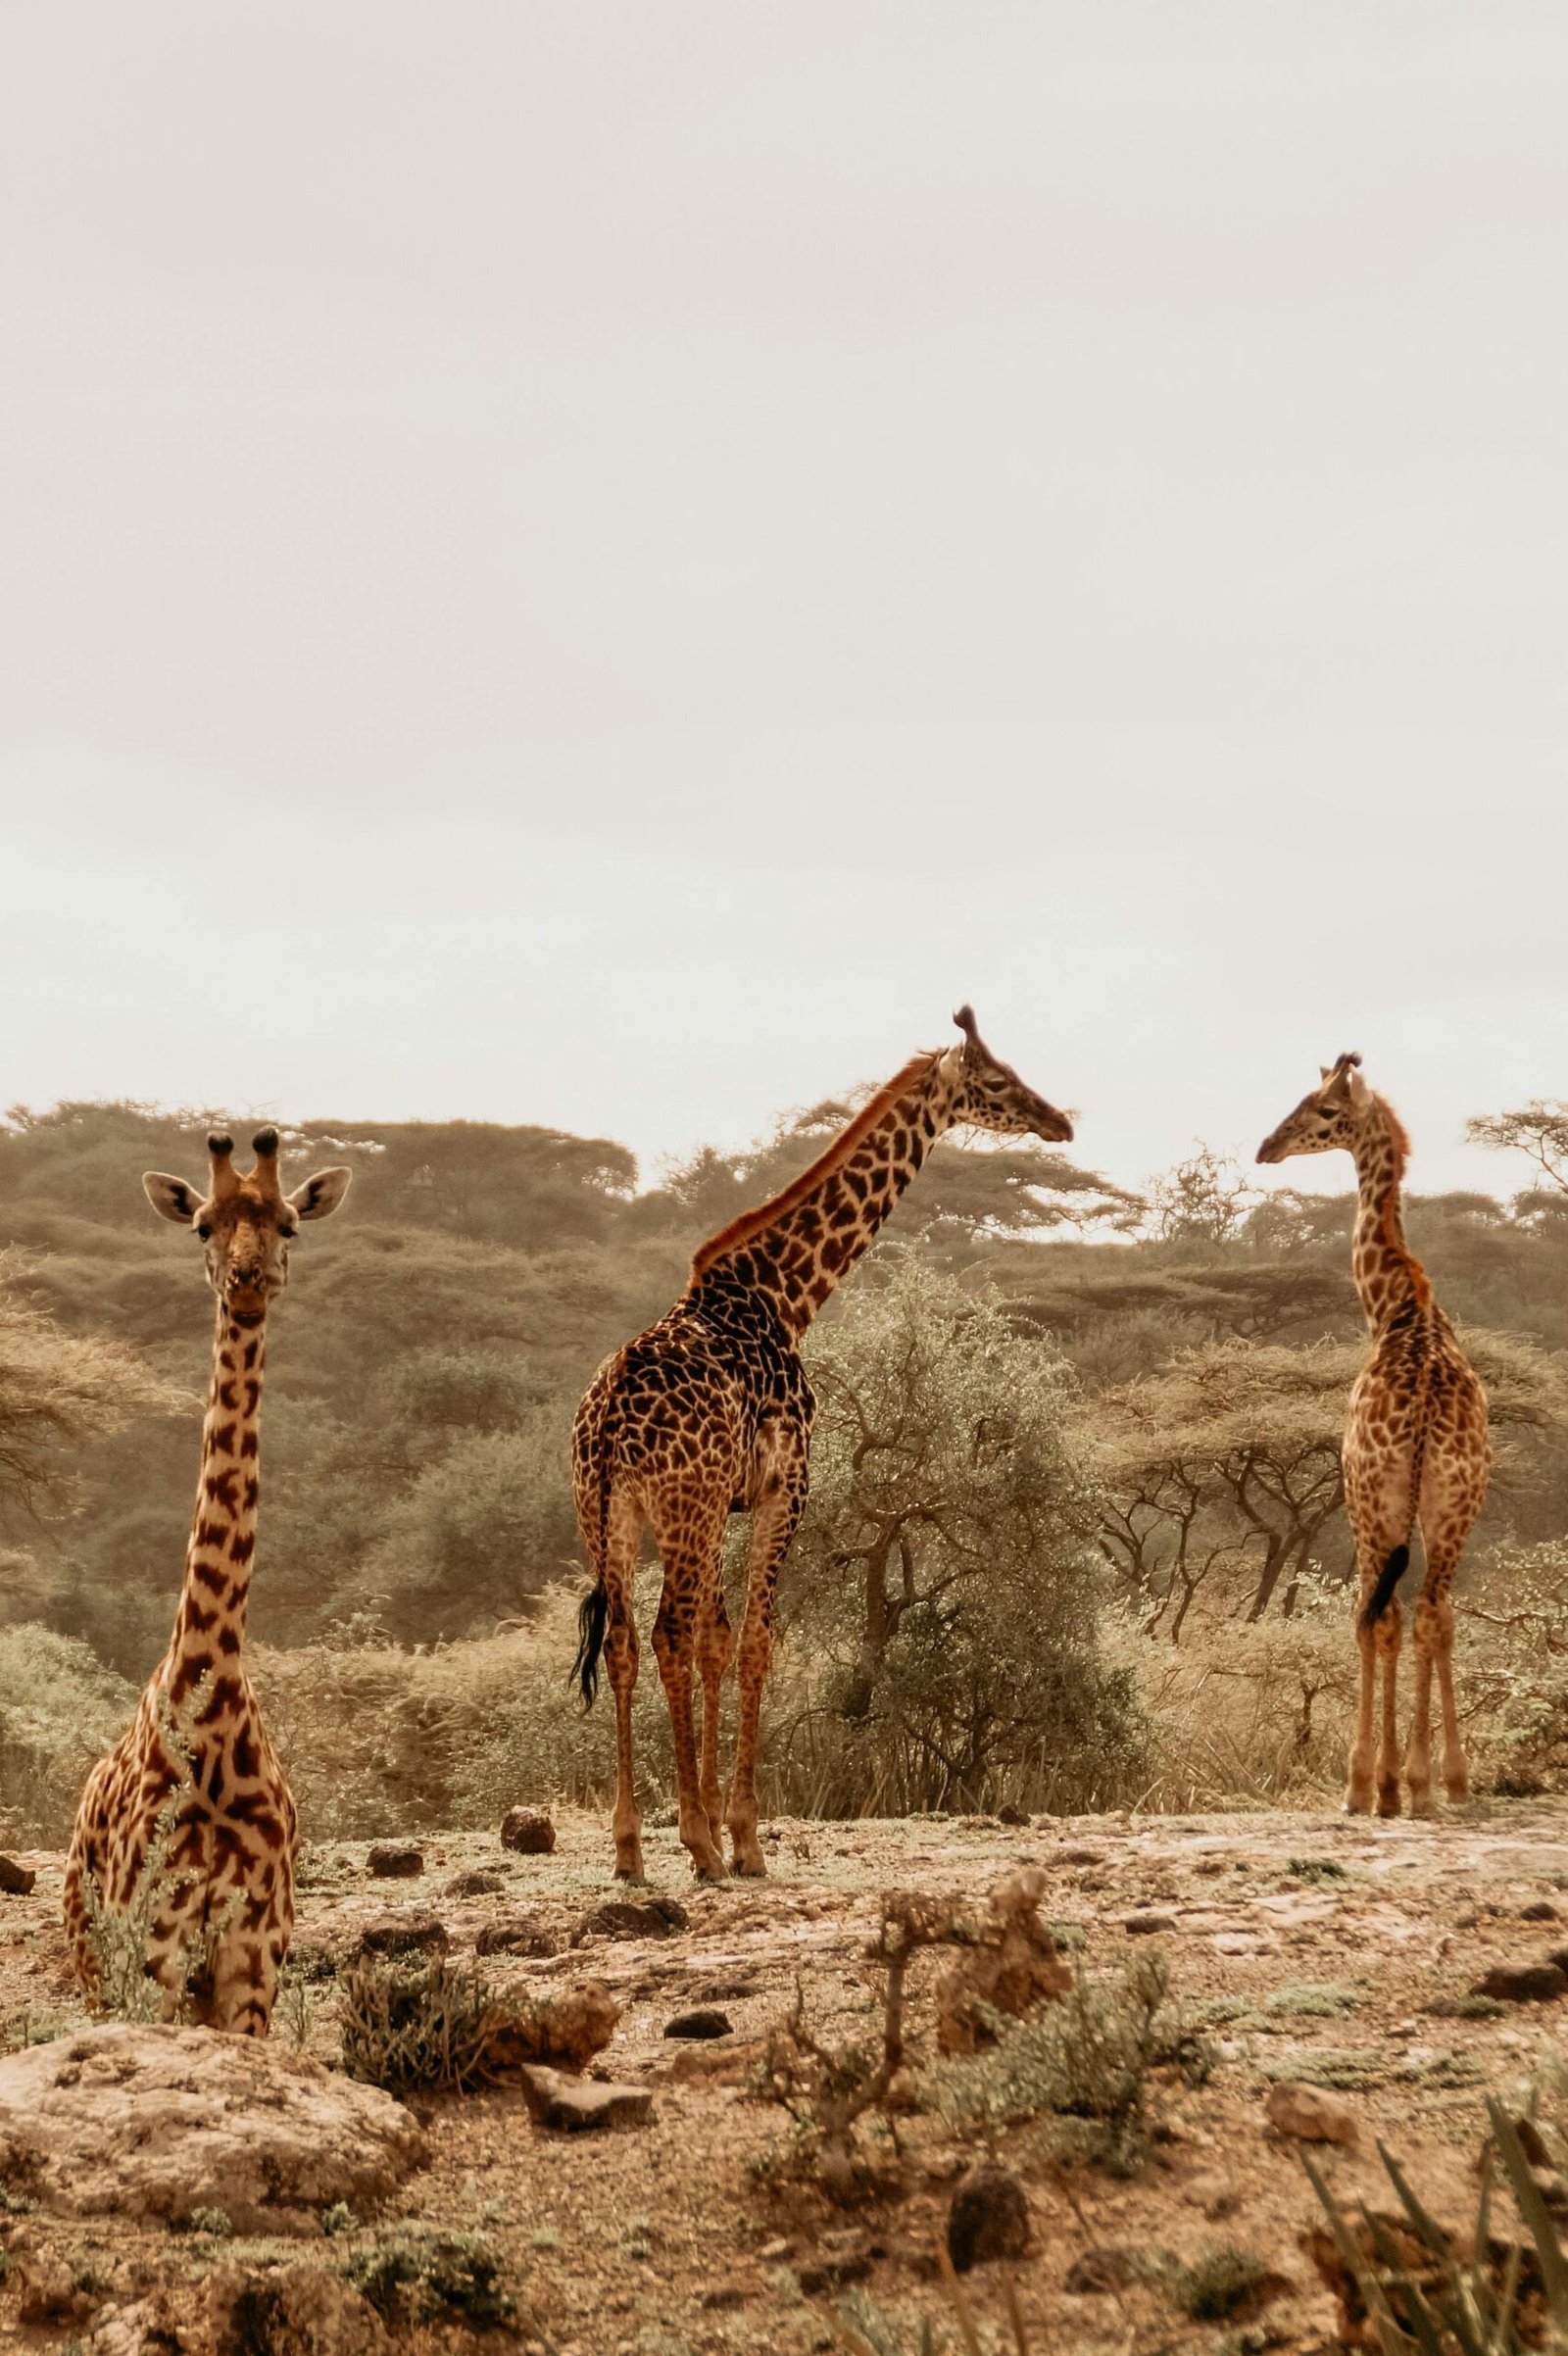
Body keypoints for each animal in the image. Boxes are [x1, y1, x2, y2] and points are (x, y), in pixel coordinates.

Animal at [62, 1121, 348, 2026]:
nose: (248, 1283)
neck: (212, 1694)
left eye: (288, 1224)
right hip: (97, 1960)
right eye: (201, 1228)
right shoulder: (155, 1945)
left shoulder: (255, 1948)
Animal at [566, 1004, 1068, 1885]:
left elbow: (717, 1644)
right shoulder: (784, 1487)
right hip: (682, 1509)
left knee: (627, 1641)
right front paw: (742, 1837)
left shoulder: (730, 1502)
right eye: (998, 1082)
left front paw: (715, 1825)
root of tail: (607, 1425)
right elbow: (755, 1642)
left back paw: (629, 1849)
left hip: (610, 1519)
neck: (785, 1296)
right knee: (662, 1634)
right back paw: (695, 1845)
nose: (1060, 1122)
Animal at [1252, 1055, 1488, 1818]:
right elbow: (1418, 1619)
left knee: (1378, 1616)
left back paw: (1382, 1783)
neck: (1395, 1307)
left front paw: (1371, 1783)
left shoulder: (1357, 1488)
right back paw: (1445, 1781)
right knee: (1434, 1613)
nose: (1267, 1147)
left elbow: (1371, 1620)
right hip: (1455, 1500)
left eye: (1325, 1111)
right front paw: (1418, 1779)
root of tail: (1423, 1420)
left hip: (1373, 1499)